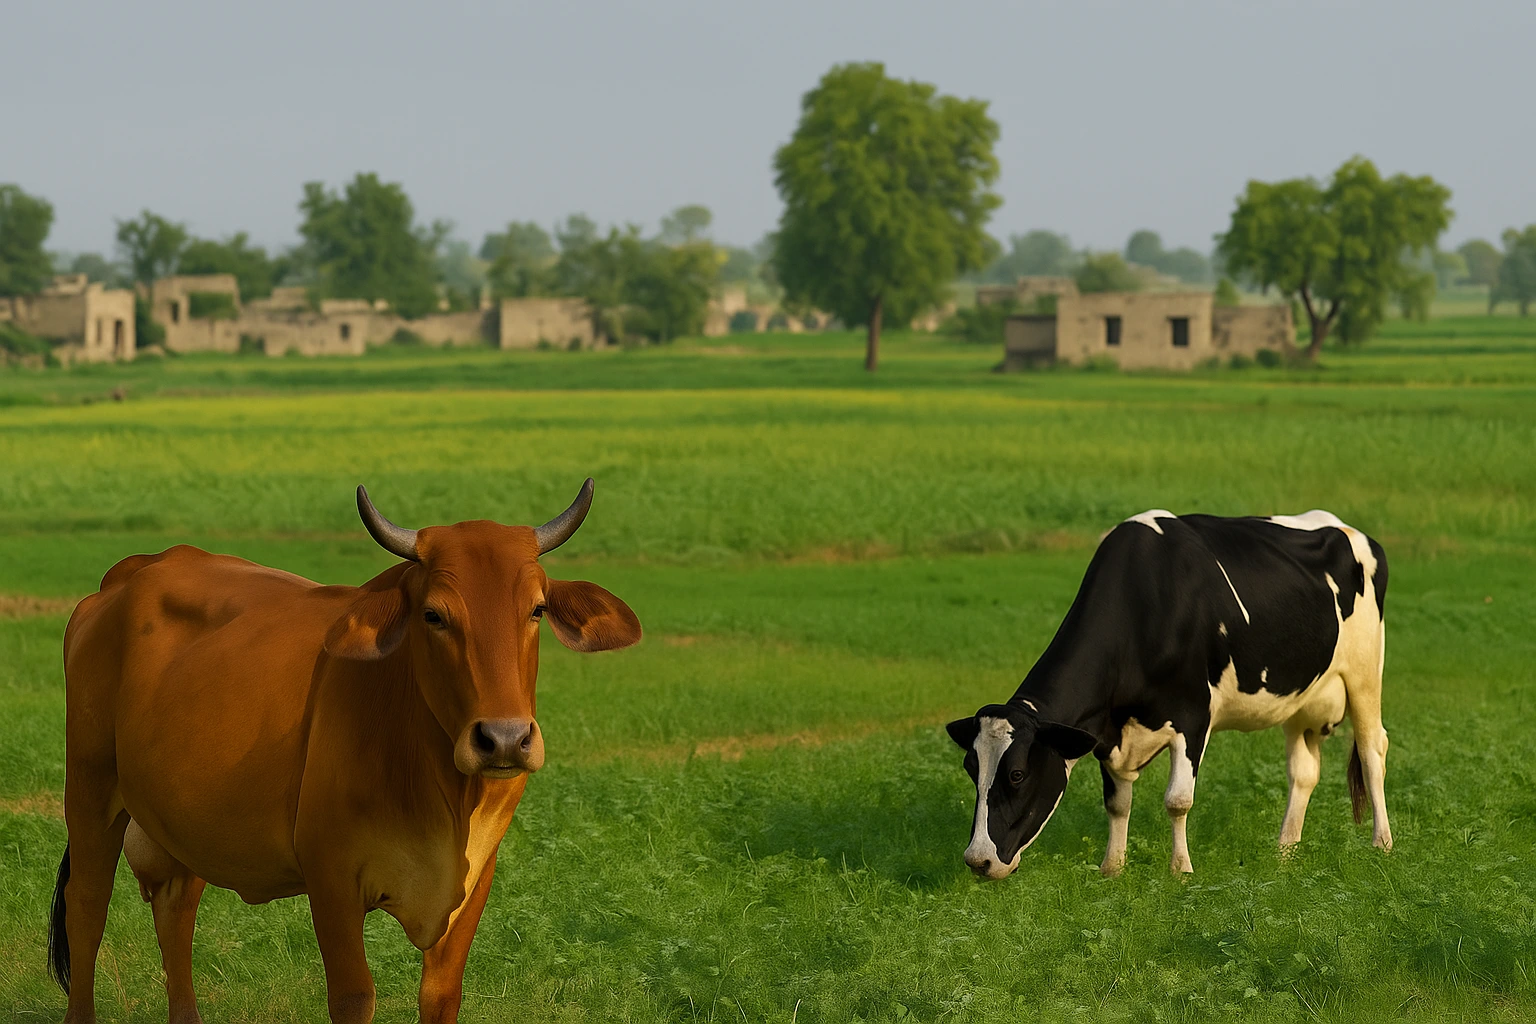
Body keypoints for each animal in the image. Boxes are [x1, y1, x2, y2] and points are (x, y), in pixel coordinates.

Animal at [48, 481, 642, 1024]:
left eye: (537, 610)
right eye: (434, 614)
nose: (503, 739)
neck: (440, 792)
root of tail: (134, 570)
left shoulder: (474, 882)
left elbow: (441, 997)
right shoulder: (330, 877)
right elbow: (354, 998)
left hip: (182, 820)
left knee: (175, 910)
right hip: (90, 790)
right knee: (86, 911)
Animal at [946, 509, 1391, 881]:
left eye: (1017, 774)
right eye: (970, 767)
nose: (977, 860)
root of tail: (1349, 528)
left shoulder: (1193, 717)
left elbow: (1178, 800)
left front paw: (1181, 870)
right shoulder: (1108, 731)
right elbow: (1117, 801)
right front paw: (1112, 868)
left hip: (1365, 671)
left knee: (1372, 750)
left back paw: (1381, 844)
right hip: (1303, 697)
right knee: (1304, 770)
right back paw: (1285, 852)